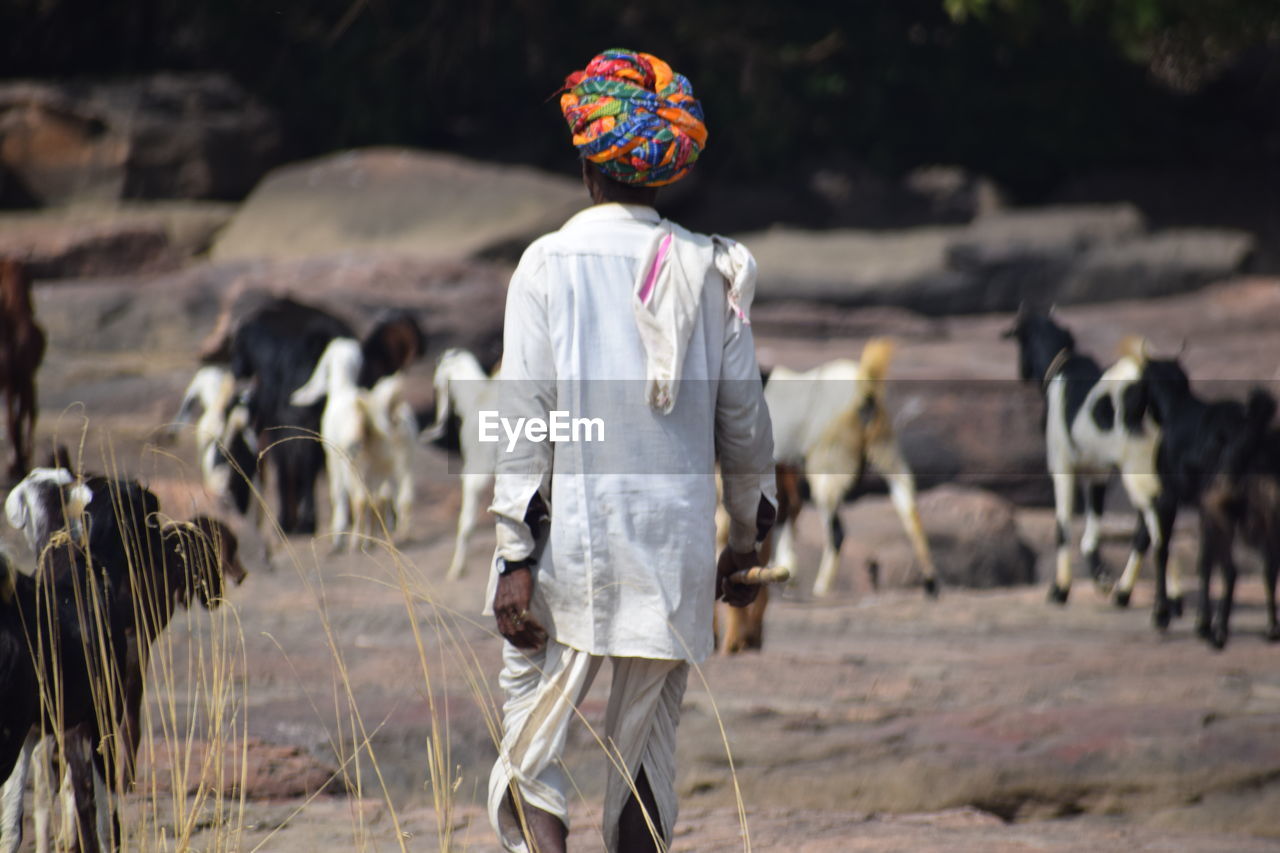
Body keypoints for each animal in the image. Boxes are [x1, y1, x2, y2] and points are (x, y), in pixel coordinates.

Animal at [290, 335, 414, 548]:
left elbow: (339, 494)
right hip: (401, 461)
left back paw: (357, 540)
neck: (343, 389)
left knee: (360, 500)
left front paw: (338, 535)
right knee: (400, 498)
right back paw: (396, 535)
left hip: (356, 463)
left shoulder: (333, 458)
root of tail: (382, 417)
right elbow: (381, 498)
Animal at [998, 308, 1187, 607]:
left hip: (1139, 467)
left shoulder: (1061, 464)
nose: (1022, 373)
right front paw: (1101, 578)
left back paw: (1161, 599)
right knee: (1153, 525)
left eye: (1018, 335)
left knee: (1156, 518)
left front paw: (1060, 589)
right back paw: (1132, 593)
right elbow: (1093, 526)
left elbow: (1062, 526)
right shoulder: (1096, 471)